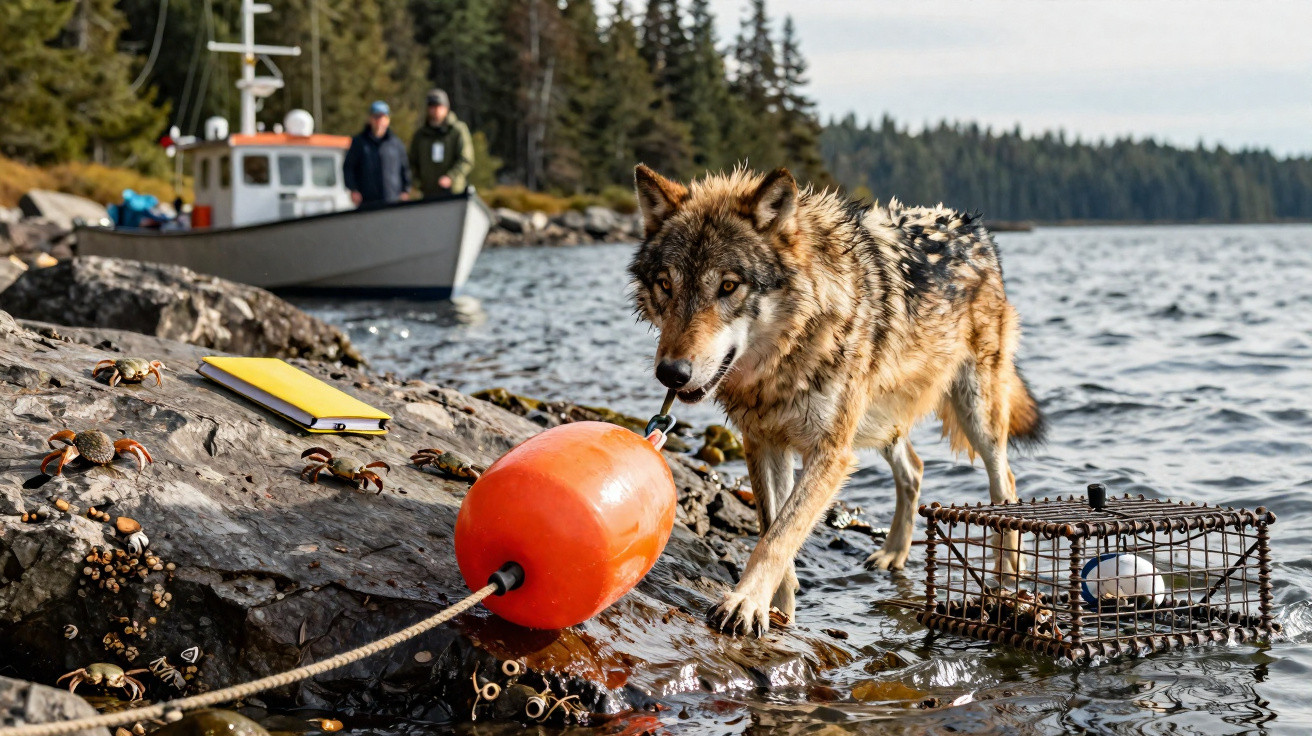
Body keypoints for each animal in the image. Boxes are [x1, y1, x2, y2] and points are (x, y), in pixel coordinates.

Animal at [627, 164, 1045, 636]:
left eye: (729, 286)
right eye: (666, 285)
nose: (671, 373)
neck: (785, 359)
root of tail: (973, 227)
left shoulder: (829, 452)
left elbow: (779, 538)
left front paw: (745, 602)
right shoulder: (764, 442)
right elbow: (772, 529)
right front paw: (779, 613)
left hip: (975, 415)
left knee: (1005, 484)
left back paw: (1006, 579)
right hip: (879, 420)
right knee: (914, 469)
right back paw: (893, 553)